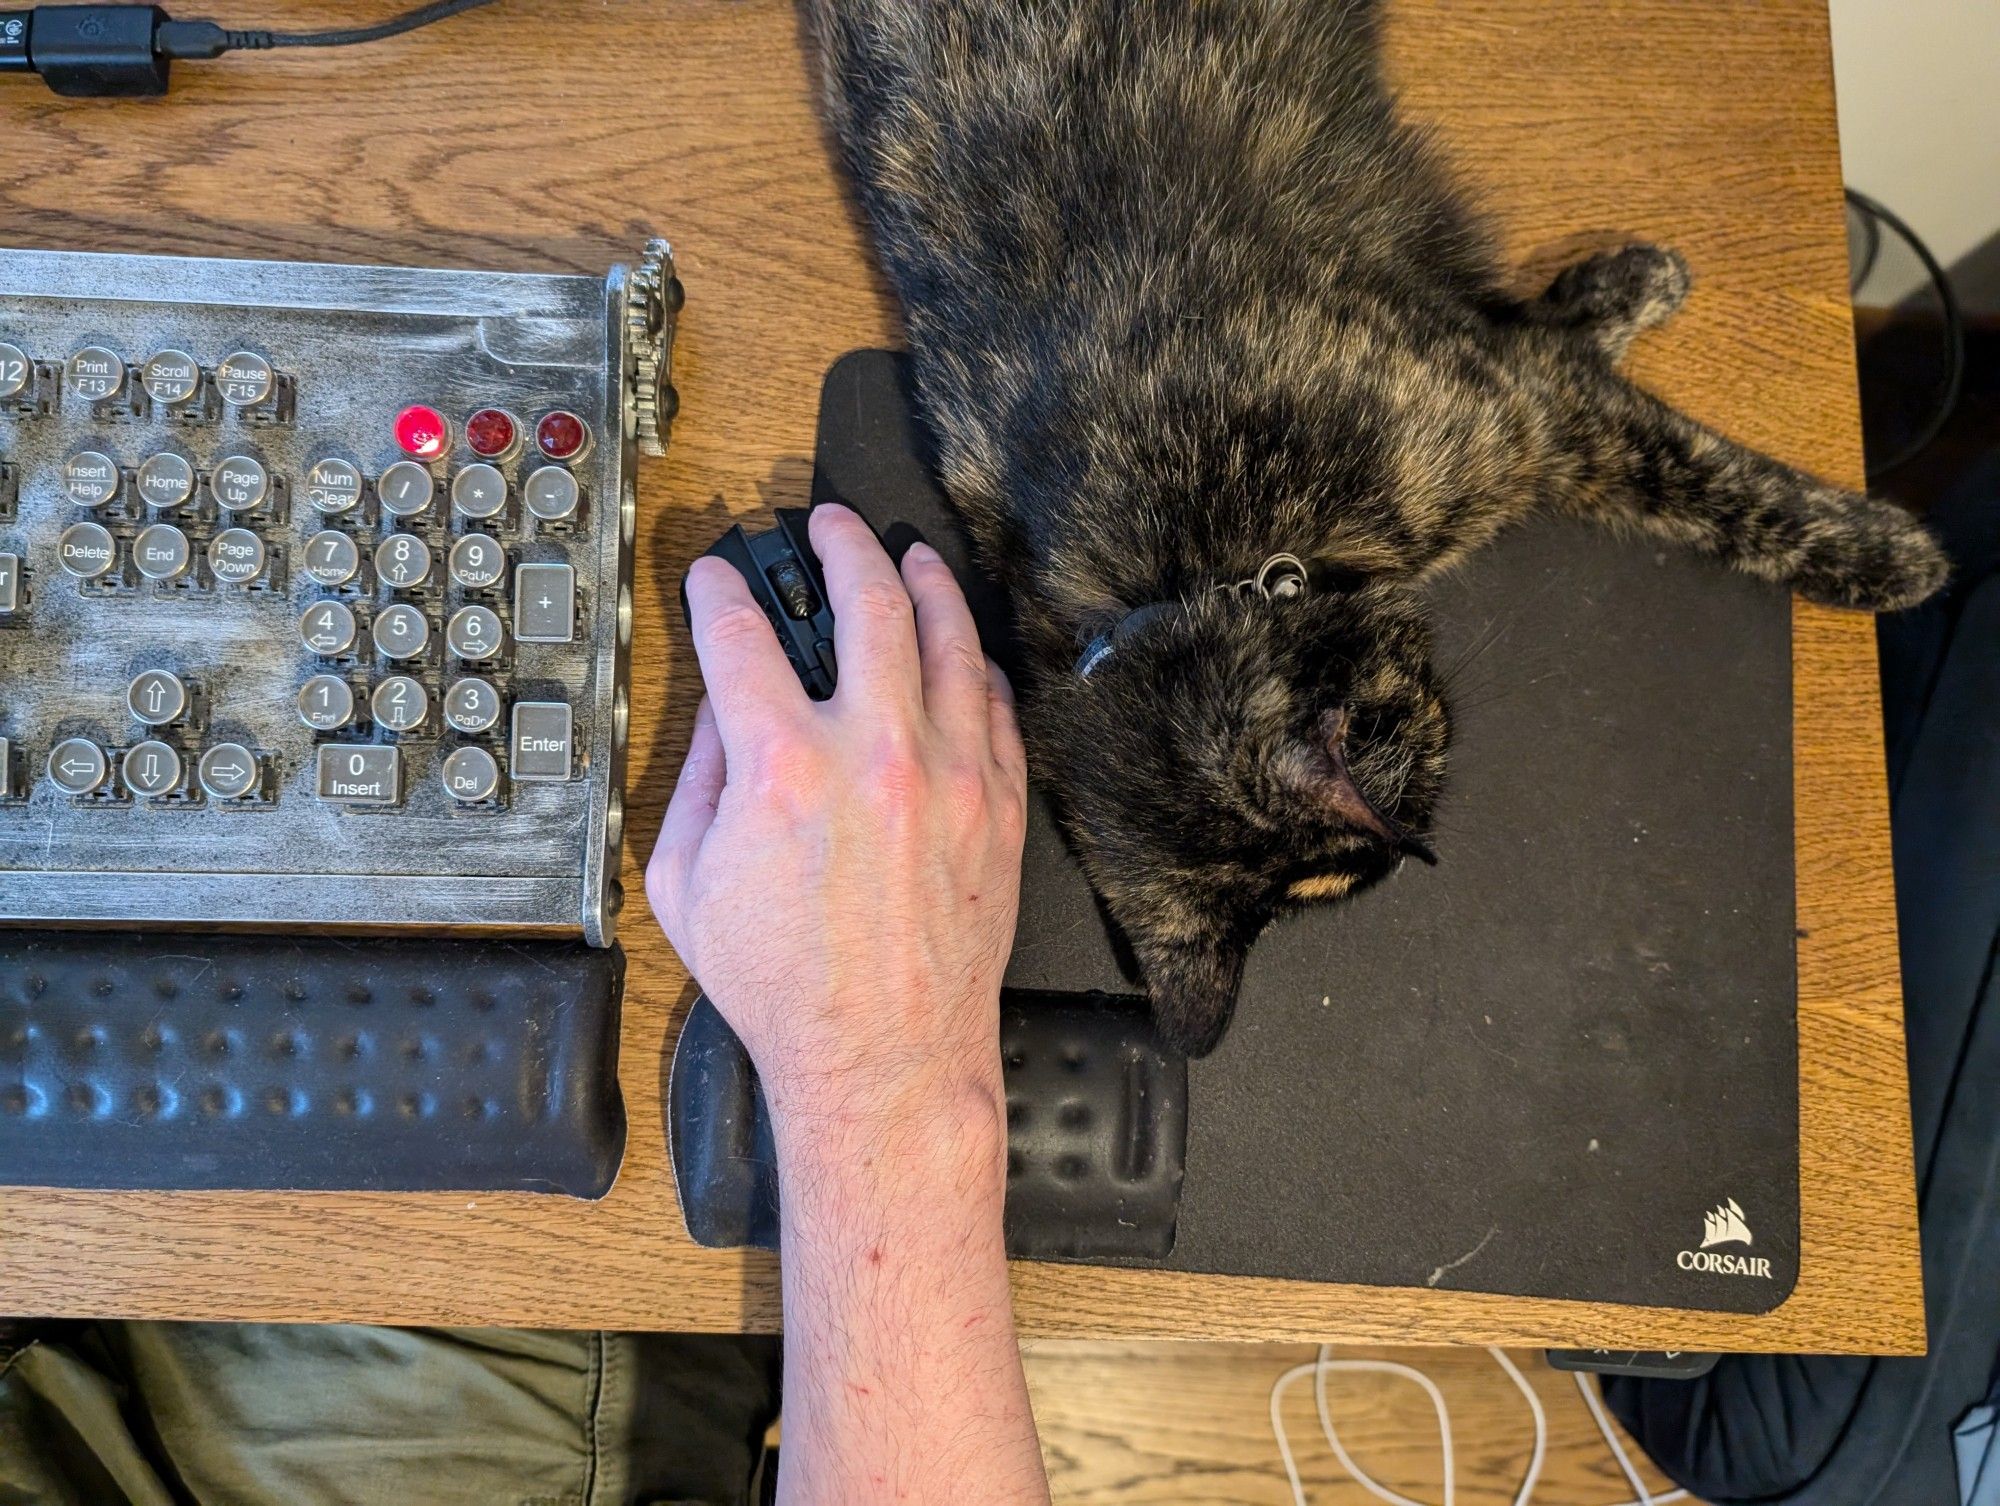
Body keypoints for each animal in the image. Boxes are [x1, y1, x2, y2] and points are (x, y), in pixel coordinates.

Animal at [804, 0, 1944, 1048]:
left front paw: (1889, 556)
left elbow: (1709, 483)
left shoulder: (1517, 404)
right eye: (1370, 849)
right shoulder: (1523, 400)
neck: (1192, 567)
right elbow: (1642, 429)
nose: (1416, 838)